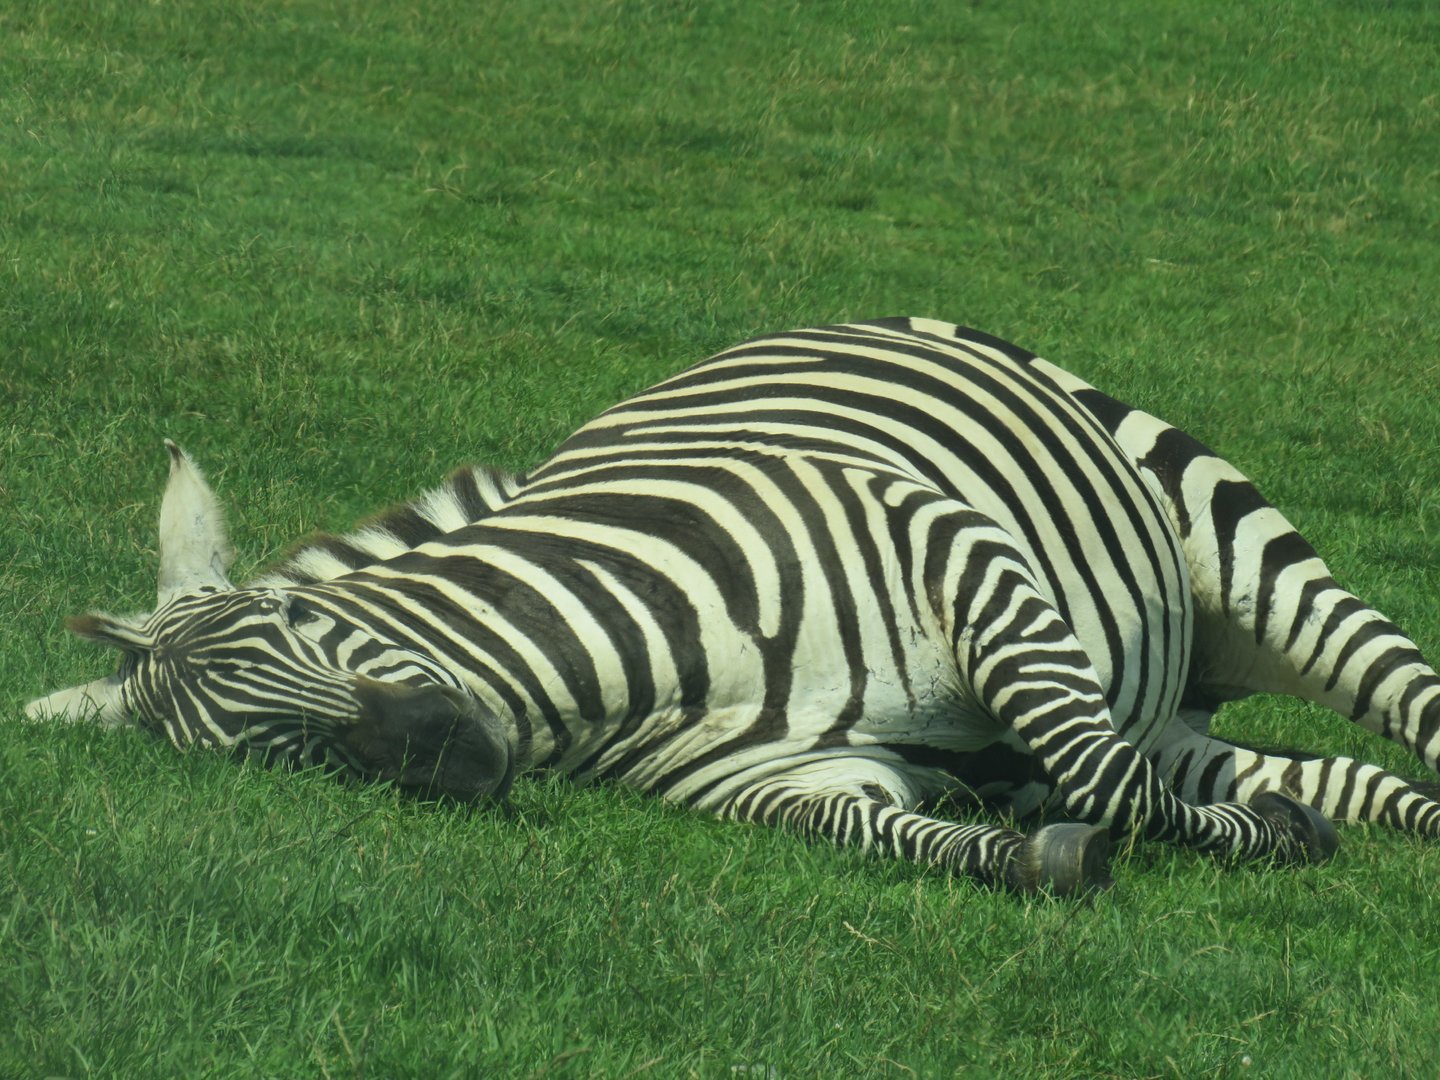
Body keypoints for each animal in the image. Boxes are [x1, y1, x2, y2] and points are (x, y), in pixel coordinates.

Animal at [27, 317, 1440, 894]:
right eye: (283, 760)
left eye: (309, 630)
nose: (449, 753)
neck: (620, 663)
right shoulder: (783, 781)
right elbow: (898, 833)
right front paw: (1035, 852)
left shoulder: (956, 554)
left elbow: (1097, 782)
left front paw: (1258, 843)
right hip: (1176, 708)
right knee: (1322, 774)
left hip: (1234, 550)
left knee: (1389, 698)